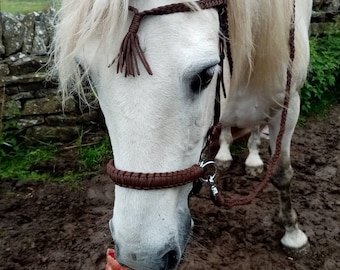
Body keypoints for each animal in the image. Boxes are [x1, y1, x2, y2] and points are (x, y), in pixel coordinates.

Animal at [53, 1, 314, 268]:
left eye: (205, 75)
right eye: (87, 72)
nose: (142, 257)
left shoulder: (289, 106)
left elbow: (282, 174)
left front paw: (293, 235)